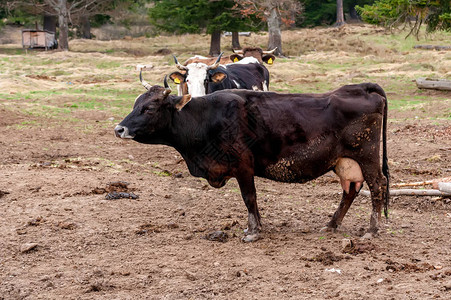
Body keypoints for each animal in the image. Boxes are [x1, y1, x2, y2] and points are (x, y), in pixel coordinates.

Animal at [115, 74, 390, 243]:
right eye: (136, 104)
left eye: (149, 108)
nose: (119, 129)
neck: (206, 117)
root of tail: (360, 87)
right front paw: (253, 227)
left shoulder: (243, 167)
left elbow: (249, 198)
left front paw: (254, 231)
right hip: (344, 162)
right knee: (350, 190)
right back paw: (332, 224)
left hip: (367, 157)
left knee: (378, 186)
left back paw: (372, 230)